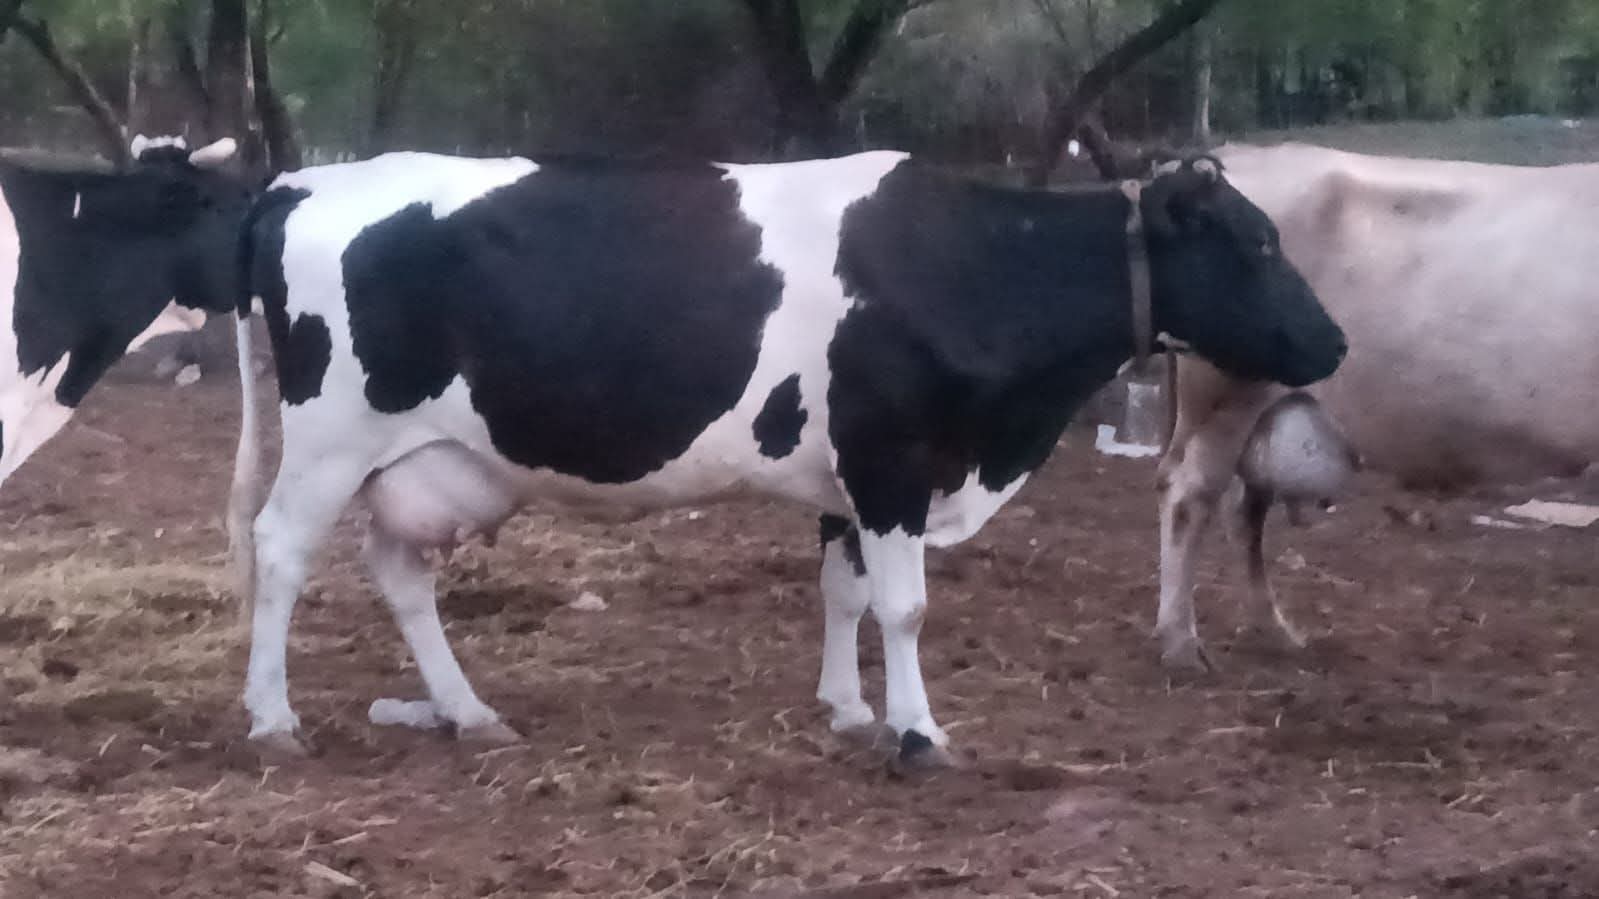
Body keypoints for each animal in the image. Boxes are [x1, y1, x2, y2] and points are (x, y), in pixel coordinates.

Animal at [227, 150, 1346, 764]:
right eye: (1255, 243)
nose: (1333, 342)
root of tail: (304, 179)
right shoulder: (893, 459)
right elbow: (904, 606)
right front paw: (917, 732)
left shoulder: (850, 478)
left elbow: (841, 592)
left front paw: (849, 710)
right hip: (331, 436)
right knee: (279, 550)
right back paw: (274, 718)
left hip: (422, 457)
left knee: (398, 570)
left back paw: (467, 710)